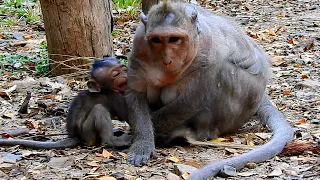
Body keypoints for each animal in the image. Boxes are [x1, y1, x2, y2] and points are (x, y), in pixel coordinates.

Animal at [0, 57, 131, 149]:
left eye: (124, 69)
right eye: (116, 74)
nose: (126, 75)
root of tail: (73, 136)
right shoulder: (114, 96)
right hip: (87, 133)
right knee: (99, 109)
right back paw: (112, 140)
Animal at [124, 1, 292, 179]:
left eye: (174, 39)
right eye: (156, 40)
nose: (167, 60)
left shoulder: (207, 53)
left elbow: (194, 98)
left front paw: (141, 132)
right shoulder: (139, 44)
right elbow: (135, 92)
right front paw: (142, 143)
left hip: (240, 107)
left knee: (224, 71)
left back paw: (193, 134)